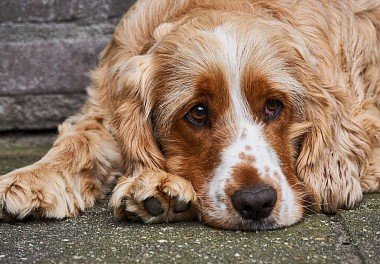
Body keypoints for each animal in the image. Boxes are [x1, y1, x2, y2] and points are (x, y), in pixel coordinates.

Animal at [0, 0, 378, 230]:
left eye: (274, 105)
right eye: (197, 112)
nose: (256, 202)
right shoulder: (106, 102)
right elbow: (79, 140)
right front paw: (27, 180)